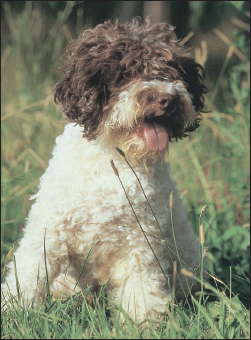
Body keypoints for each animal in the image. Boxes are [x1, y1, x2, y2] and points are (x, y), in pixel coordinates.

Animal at [0, 18, 207, 322]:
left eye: (173, 72)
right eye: (126, 73)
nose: (167, 99)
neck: (112, 162)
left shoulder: (141, 243)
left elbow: (141, 292)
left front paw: (141, 324)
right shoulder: (48, 233)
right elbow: (26, 276)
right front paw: (14, 313)